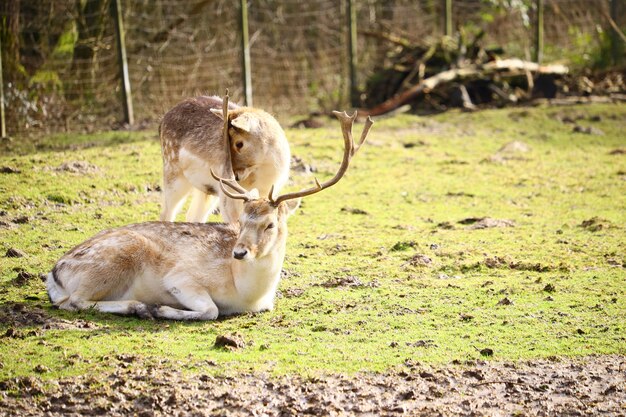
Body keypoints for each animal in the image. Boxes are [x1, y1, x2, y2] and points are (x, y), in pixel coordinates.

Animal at [48, 110, 372, 318]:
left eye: (270, 225)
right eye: (241, 221)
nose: (239, 252)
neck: (248, 294)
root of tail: (54, 273)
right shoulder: (180, 277)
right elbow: (211, 310)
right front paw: (161, 308)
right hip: (116, 258)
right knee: (73, 301)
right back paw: (138, 306)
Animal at [158, 95, 290, 224]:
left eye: (239, 144)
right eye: (224, 137)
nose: (233, 175)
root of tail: (163, 119)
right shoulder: (229, 195)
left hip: (206, 190)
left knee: (193, 216)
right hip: (172, 172)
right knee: (166, 213)